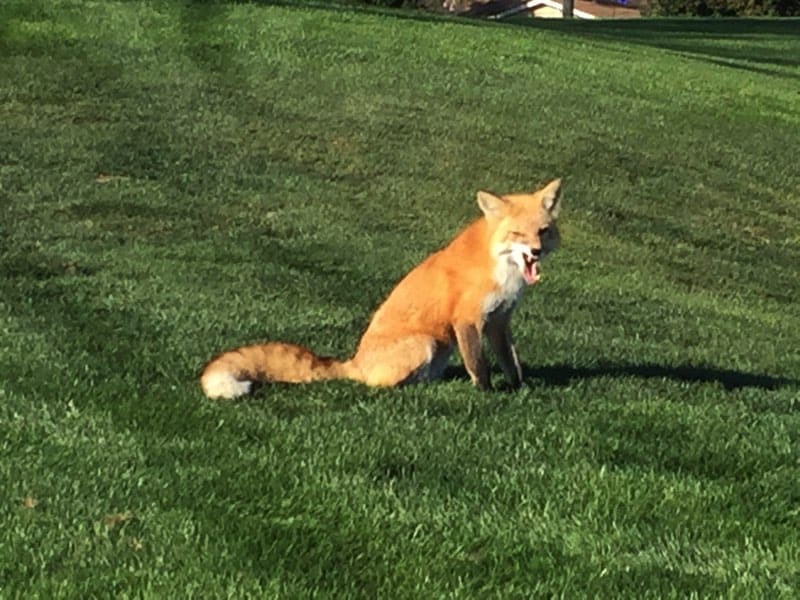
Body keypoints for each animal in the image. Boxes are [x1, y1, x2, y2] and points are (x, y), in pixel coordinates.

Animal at [200, 178, 562, 399]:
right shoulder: (467, 321)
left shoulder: (500, 321)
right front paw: (486, 395)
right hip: (427, 343)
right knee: (378, 385)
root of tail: (354, 363)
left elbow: (511, 362)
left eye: (543, 231)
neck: (502, 269)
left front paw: (520, 389)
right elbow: (479, 366)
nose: (536, 252)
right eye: (517, 234)